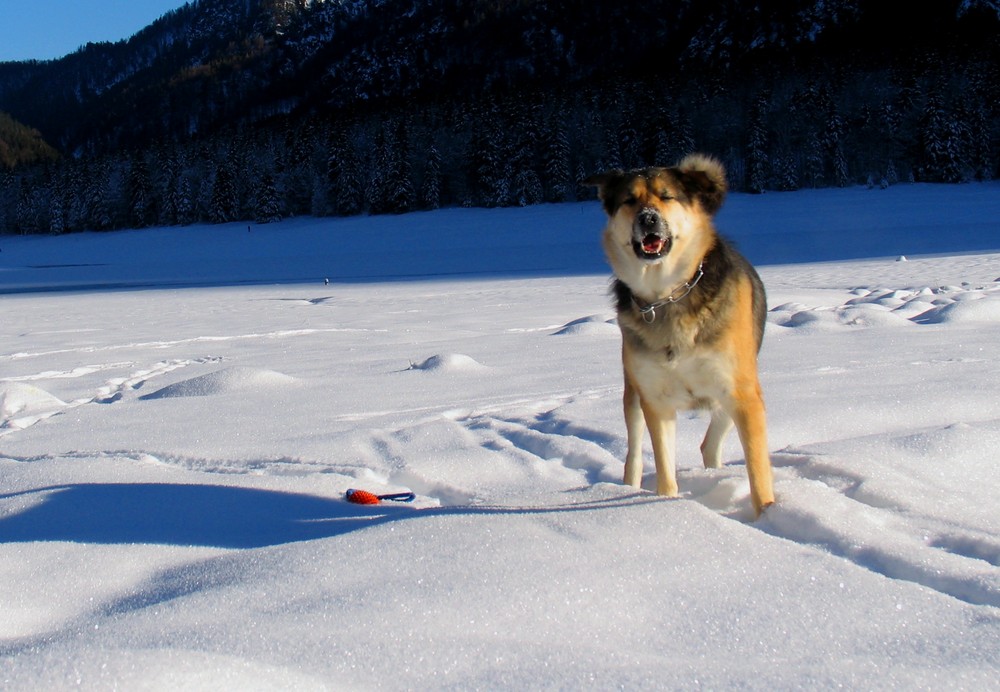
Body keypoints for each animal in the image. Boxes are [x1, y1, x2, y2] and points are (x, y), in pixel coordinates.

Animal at [584, 155, 776, 512]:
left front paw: (767, 514)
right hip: (634, 393)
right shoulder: (655, 399)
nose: (648, 218)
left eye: (666, 196)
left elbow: (758, 472)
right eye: (629, 200)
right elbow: (664, 467)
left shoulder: (742, 393)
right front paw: (668, 505)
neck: (668, 295)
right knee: (634, 452)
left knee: (710, 445)